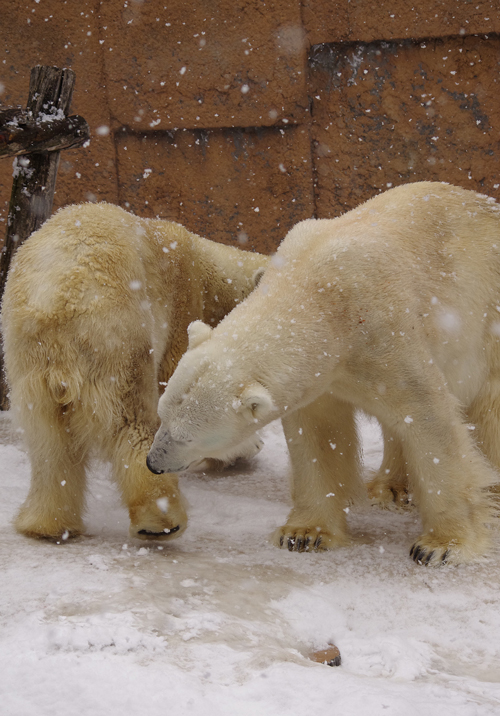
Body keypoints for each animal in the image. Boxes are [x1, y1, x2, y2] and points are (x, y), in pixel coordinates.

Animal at [1, 203, 268, 544]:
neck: (209, 271)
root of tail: (58, 302)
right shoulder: (181, 306)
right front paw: (246, 447)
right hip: (118, 338)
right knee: (133, 422)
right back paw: (161, 521)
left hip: (28, 365)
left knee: (48, 443)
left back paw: (45, 524)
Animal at [146, 183, 500, 564]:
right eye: (162, 416)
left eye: (188, 437)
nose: (153, 463)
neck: (318, 292)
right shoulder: (326, 370)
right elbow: (319, 433)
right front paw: (304, 534)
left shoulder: (385, 332)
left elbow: (428, 420)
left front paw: (440, 546)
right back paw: (390, 488)